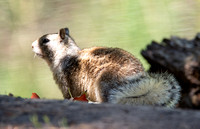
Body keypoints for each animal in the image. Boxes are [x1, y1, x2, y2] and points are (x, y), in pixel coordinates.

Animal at [31, 27, 181, 108]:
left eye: (45, 40)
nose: (31, 45)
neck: (66, 54)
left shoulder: (64, 81)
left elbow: (68, 95)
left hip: (103, 81)